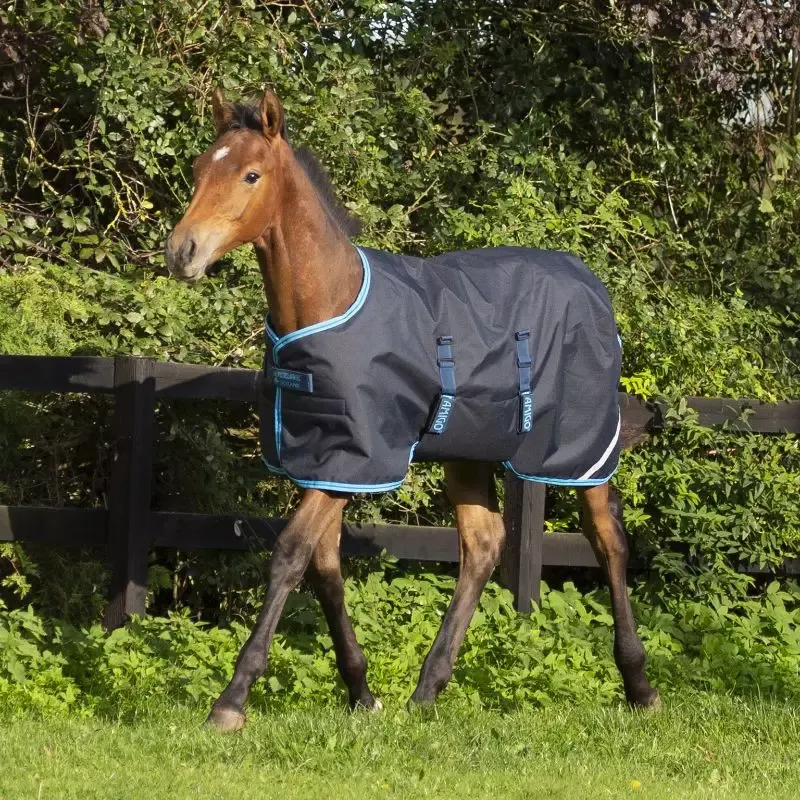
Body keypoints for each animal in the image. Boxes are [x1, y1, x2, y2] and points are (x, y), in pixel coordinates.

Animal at [165, 86, 660, 732]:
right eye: (201, 168)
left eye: (251, 174)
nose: (183, 251)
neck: (330, 302)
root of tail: (591, 284)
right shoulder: (326, 460)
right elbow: (324, 566)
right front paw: (362, 691)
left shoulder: (357, 458)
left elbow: (290, 555)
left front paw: (231, 701)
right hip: (468, 451)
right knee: (483, 544)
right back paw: (428, 688)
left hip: (580, 449)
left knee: (607, 541)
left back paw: (640, 685)